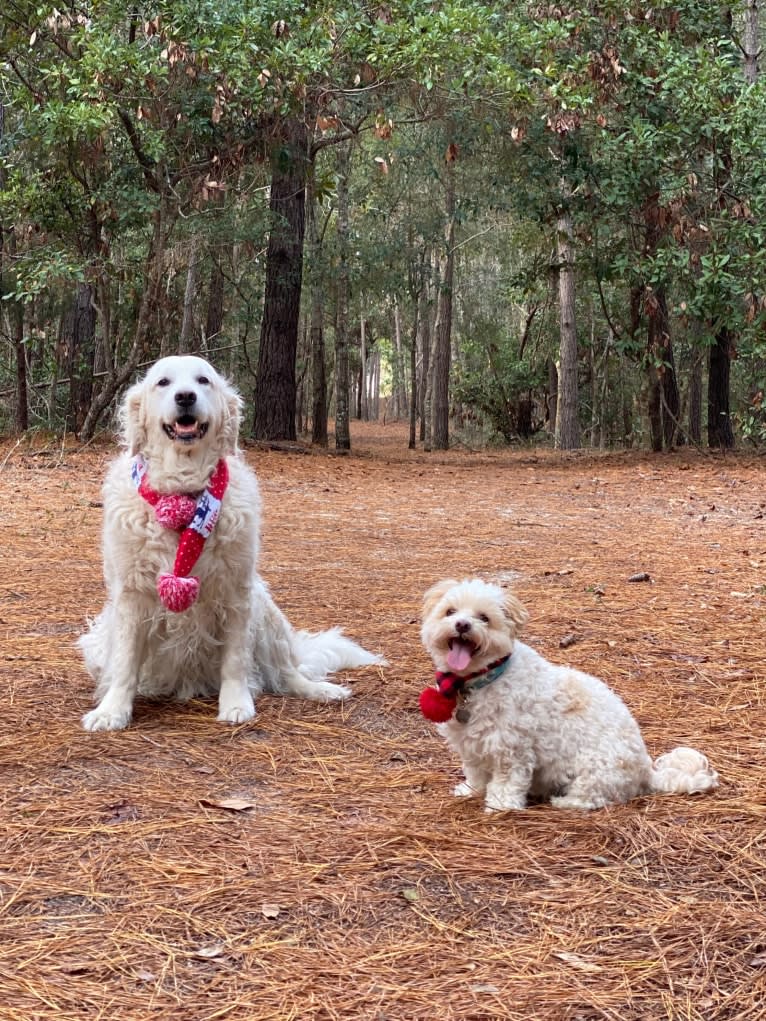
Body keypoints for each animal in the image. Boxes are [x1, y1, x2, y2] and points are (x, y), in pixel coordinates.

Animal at [81, 355, 384, 731]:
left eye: (203, 380)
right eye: (163, 382)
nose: (185, 397)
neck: (183, 492)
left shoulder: (236, 590)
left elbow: (236, 660)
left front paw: (237, 704)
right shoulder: (131, 596)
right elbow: (124, 663)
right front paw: (112, 711)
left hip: (265, 612)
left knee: (286, 673)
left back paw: (321, 690)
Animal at [420, 584, 719, 812]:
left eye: (484, 617)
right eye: (450, 611)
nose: (462, 624)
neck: (479, 680)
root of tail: (647, 772)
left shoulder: (512, 749)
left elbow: (507, 782)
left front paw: (500, 806)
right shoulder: (471, 745)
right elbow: (475, 773)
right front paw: (471, 790)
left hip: (594, 767)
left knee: (593, 798)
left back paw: (564, 802)